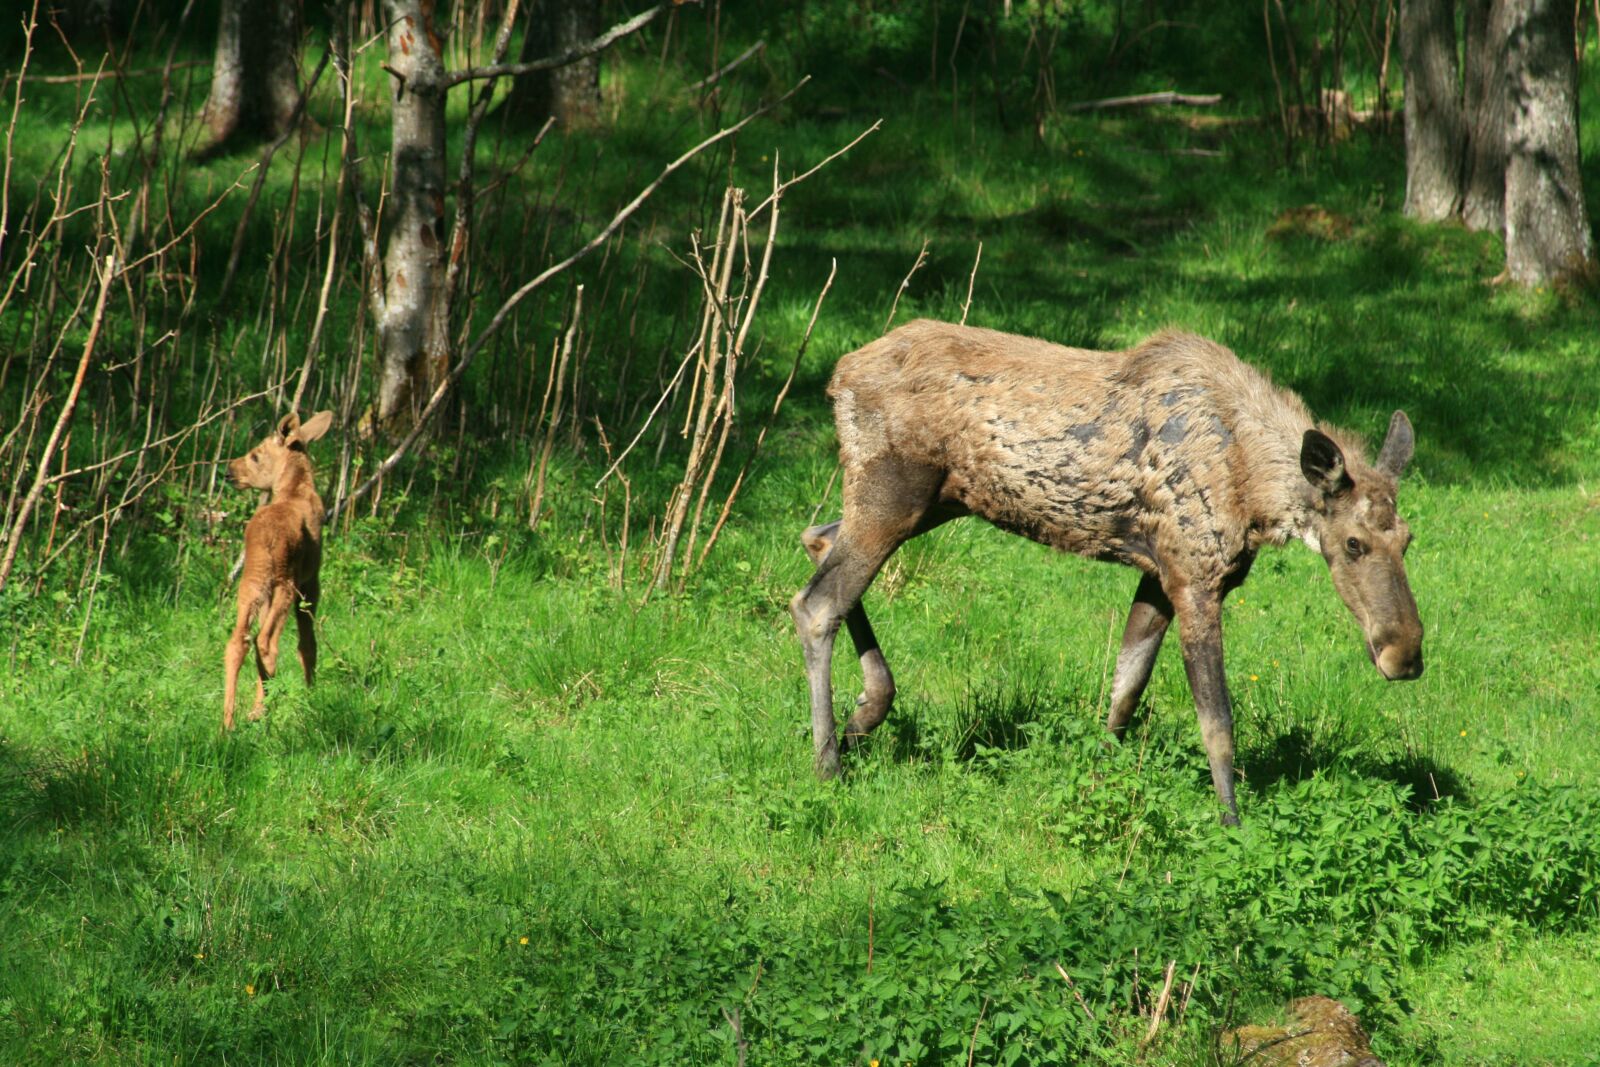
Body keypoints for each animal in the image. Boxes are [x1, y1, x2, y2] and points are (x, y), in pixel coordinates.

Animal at [222, 410, 334, 730]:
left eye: (255, 455)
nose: (228, 471)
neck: (295, 487)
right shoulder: (311, 582)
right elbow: (307, 643)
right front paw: (311, 691)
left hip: (252, 584)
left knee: (239, 640)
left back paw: (229, 722)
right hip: (285, 583)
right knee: (267, 641)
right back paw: (262, 709)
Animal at [790, 320, 1423, 824]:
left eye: (1408, 539)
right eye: (1353, 543)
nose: (1406, 655)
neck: (1255, 494)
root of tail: (838, 377)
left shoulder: (1158, 574)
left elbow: (1124, 692)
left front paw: (1099, 783)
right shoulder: (1194, 575)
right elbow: (1216, 721)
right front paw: (1232, 825)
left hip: (933, 501)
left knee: (817, 539)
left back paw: (864, 715)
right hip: (893, 490)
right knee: (816, 602)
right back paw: (827, 763)